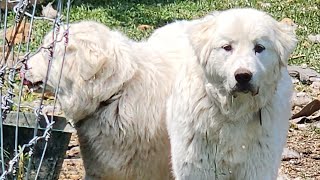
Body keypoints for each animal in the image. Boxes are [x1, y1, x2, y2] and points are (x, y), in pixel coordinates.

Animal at [165, 7, 298, 179]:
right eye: (227, 47)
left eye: (259, 48)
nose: (243, 76)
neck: (235, 113)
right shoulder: (198, 167)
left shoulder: (258, 167)